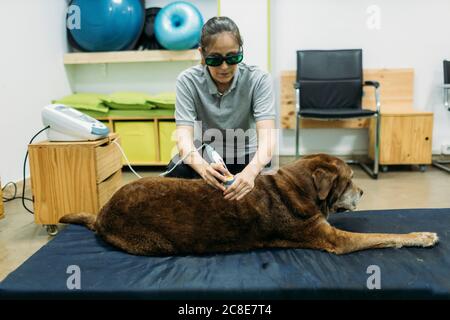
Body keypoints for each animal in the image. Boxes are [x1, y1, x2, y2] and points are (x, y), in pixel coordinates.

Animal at [58, 154, 438, 256]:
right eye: (349, 180)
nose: (363, 193)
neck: (298, 188)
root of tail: (102, 213)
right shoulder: (337, 241)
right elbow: (388, 236)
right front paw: (423, 236)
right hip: (154, 244)